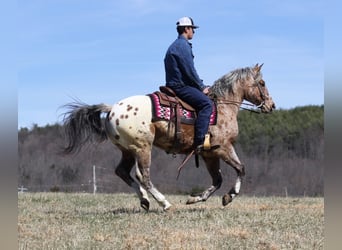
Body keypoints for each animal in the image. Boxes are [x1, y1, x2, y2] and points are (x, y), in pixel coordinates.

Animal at [61, 63, 276, 211]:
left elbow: (217, 180)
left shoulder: (209, 154)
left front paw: (195, 198)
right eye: (262, 83)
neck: (222, 106)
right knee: (143, 176)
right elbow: (241, 169)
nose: (271, 105)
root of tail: (112, 108)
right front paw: (229, 197)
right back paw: (164, 203)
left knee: (122, 172)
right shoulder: (223, 148)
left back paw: (145, 200)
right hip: (142, 148)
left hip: (127, 150)